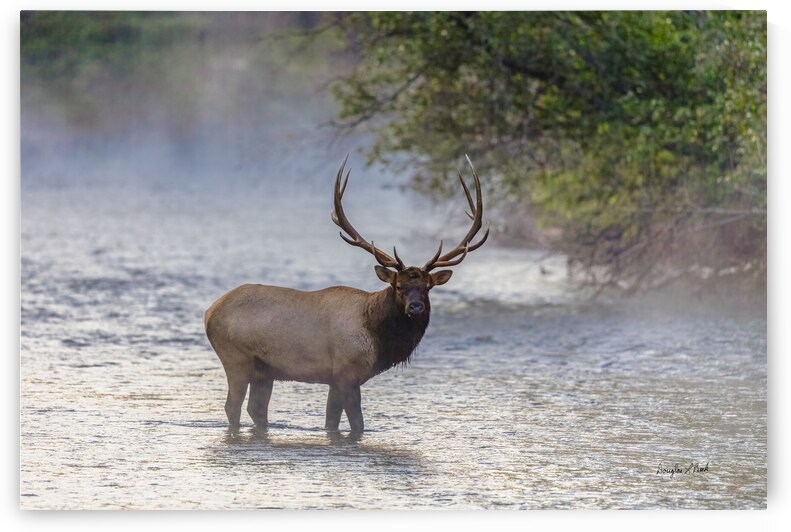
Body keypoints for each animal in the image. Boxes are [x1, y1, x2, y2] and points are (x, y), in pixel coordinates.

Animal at [204, 155, 488, 435]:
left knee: (256, 409)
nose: (415, 307)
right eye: (399, 286)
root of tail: (209, 312)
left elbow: (331, 421)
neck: (378, 337)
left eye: (427, 287)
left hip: (264, 371)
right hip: (236, 359)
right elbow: (357, 424)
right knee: (233, 406)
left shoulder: (334, 379)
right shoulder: (348, 373)